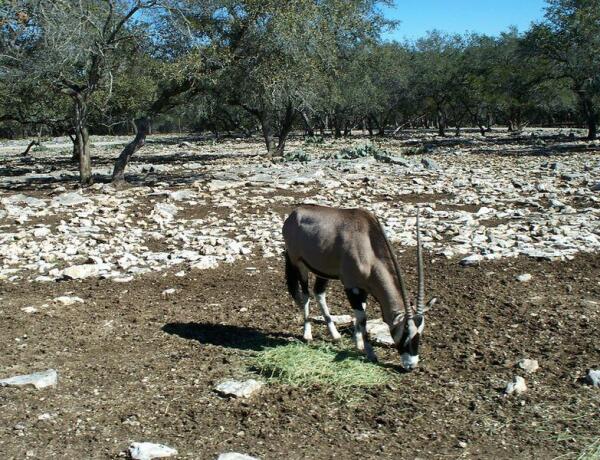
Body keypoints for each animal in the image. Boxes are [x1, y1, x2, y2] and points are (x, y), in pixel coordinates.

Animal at [282, 205, 436, 370]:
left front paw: (358, 343)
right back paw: (307, 334)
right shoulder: (351, 287)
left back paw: (335, 335)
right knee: (305, 295)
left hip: (322, 270)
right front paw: (370, 353)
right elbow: (362, 318)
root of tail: (294, 214)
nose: (411, 365)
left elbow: (362, 312)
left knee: (319, 293)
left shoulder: (363, 289)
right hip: (299, 264)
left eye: (420, 332)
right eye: (406, 330)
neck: (368, 245)